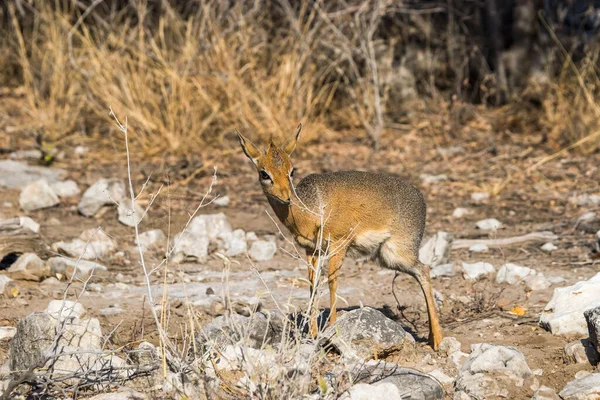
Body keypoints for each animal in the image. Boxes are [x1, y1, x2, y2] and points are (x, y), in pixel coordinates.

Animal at [237, 125, 442, 350]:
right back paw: (431, 337)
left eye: (292, 170)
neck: (310, 210)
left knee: (424, 270)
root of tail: (420, 198)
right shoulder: (311, 251)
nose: (286, 197)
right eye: (264, 173)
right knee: (422, 271)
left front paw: (332, 328)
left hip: (397, 252)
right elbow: (313, 284)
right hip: (386, 257)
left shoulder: (338, 245)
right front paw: (313, 334)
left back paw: (437, 341)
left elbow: (332, 282)